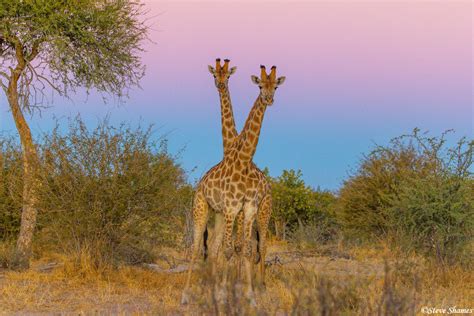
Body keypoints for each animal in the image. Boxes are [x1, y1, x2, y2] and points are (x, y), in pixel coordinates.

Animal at [181, 65, 286, 306]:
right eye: (260, 85)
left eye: (275, 86)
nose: (269, 98)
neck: (243, 159)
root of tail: (199, 186)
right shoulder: (231, 208)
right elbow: (230, 249)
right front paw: (224, 293)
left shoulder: (247, 207)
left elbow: (243, 249)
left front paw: (247, 294)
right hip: (202, 208)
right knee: (197, 247)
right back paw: (187, 294)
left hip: (260, 210)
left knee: (256, 245)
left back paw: (259, 286)